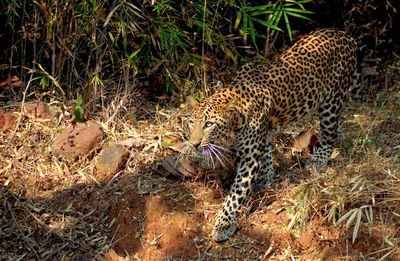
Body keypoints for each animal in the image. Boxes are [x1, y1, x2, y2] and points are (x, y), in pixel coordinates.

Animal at [188, 27, 360, 241]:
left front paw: (224, 224)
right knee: (337, 125)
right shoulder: (264, 134)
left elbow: (236, 193)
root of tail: (345, 35)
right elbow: (268, 151)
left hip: (330, 101)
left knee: (329, 135)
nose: (193, 144)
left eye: (209, 124)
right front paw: (267, 176)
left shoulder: (250, 157)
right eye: (192, 123)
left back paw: (319, 158)